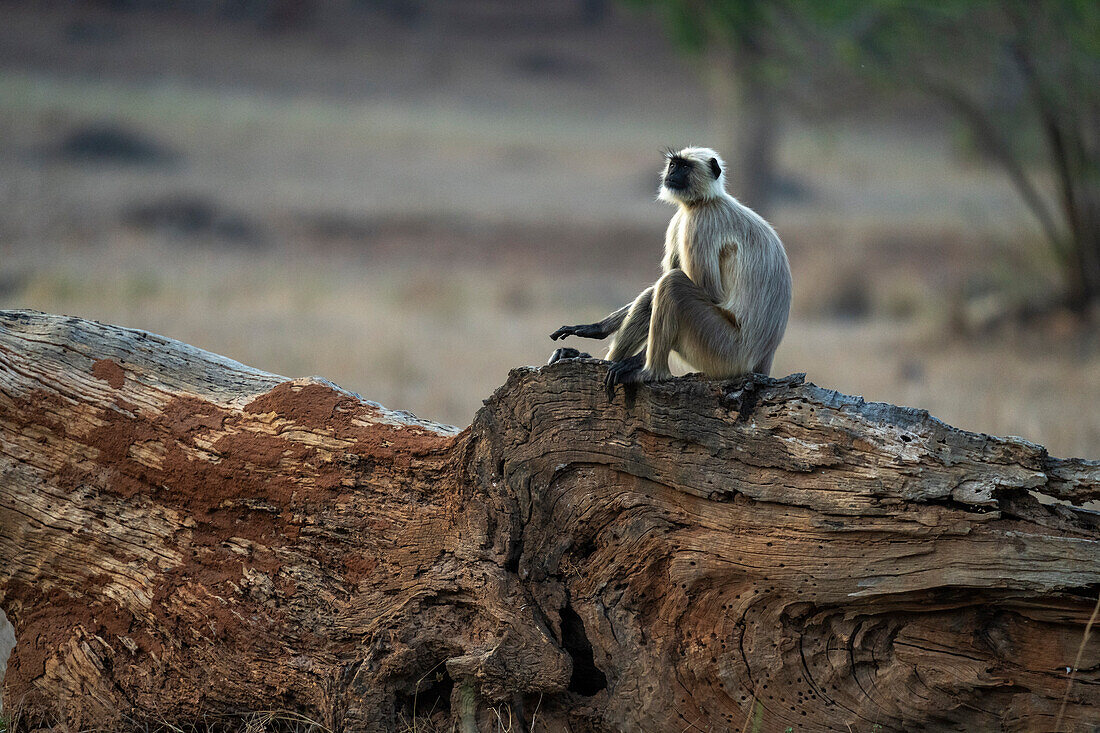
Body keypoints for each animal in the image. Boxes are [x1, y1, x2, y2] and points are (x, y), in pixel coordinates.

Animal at [550, 145, 792, 391]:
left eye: (684, 167)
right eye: (673, 164)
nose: (671, 174)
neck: (705, 201)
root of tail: (763, 359)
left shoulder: (699, 222)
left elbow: (711, 293)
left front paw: (634, 361)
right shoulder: (681, 218)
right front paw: (597, 328)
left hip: (723, 351)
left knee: (672, 283)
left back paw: (648, 372)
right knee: (661, 288)